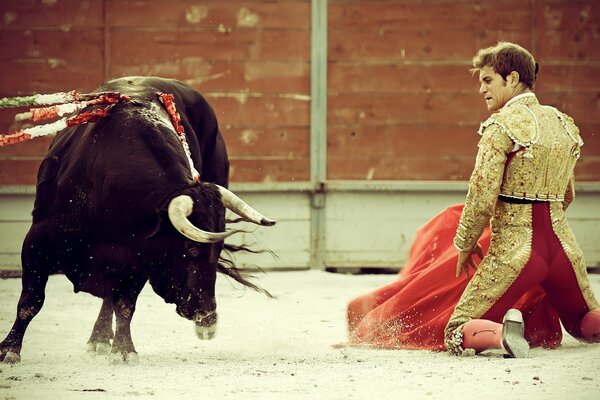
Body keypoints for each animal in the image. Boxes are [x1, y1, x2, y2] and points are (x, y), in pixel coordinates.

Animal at [0, 76, 276, 364]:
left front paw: (124, 350)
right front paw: (10, 349)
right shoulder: (36, 241)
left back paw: (100, 337)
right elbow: (30, 301)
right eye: (190, 248)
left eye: (217, 250)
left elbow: (124, 304)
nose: (207, 315)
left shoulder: (137, 258)